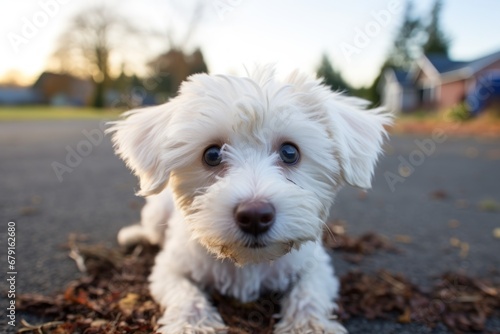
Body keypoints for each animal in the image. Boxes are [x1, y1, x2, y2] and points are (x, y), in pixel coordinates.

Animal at [108, 66, 390, 332]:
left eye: (290, 152)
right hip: (156, 212)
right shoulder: (169, 267)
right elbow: (184, 294)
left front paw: (308, 325)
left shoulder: (316, 265)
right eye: (211, 155)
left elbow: (308, 293)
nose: (255, 215)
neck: (248, 264)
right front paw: (194, 324)